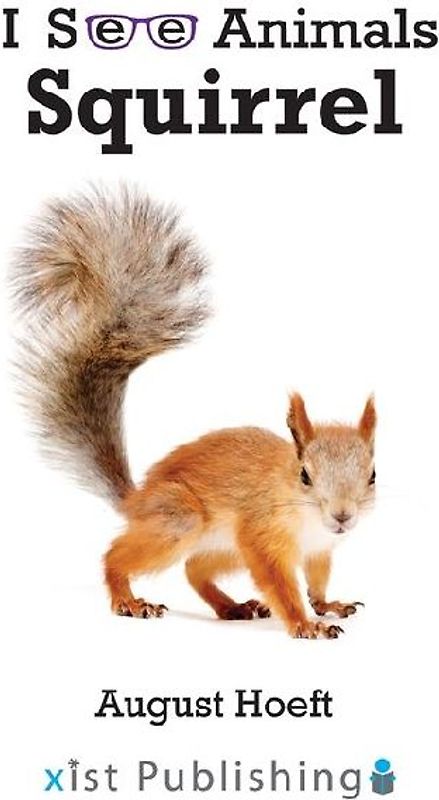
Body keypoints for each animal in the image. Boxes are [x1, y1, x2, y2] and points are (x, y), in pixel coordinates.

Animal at [13, 185, 376, 640]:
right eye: (305, 475)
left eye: (372, 474)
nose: (343, 516)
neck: (305, 516)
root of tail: (137, 501)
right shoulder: (260, 534)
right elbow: (279, 582)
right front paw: (304, 624)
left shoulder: (319, 548)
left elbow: (318, 579)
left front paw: (328, 605)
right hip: (178, 520)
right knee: (116, 556)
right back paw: (129, 599)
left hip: (221, 548)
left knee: (194, 569)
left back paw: (232, 606)